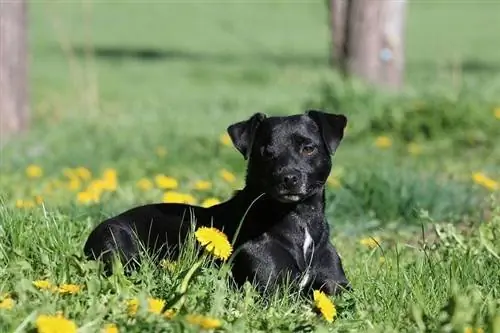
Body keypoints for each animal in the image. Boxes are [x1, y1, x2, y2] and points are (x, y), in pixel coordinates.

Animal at [84, 110, 350, 294]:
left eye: (308, 148)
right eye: (266, 152)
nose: (289, 178)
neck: (298, 219)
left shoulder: (337, 286)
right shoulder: (271, 287)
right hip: (118, 245)